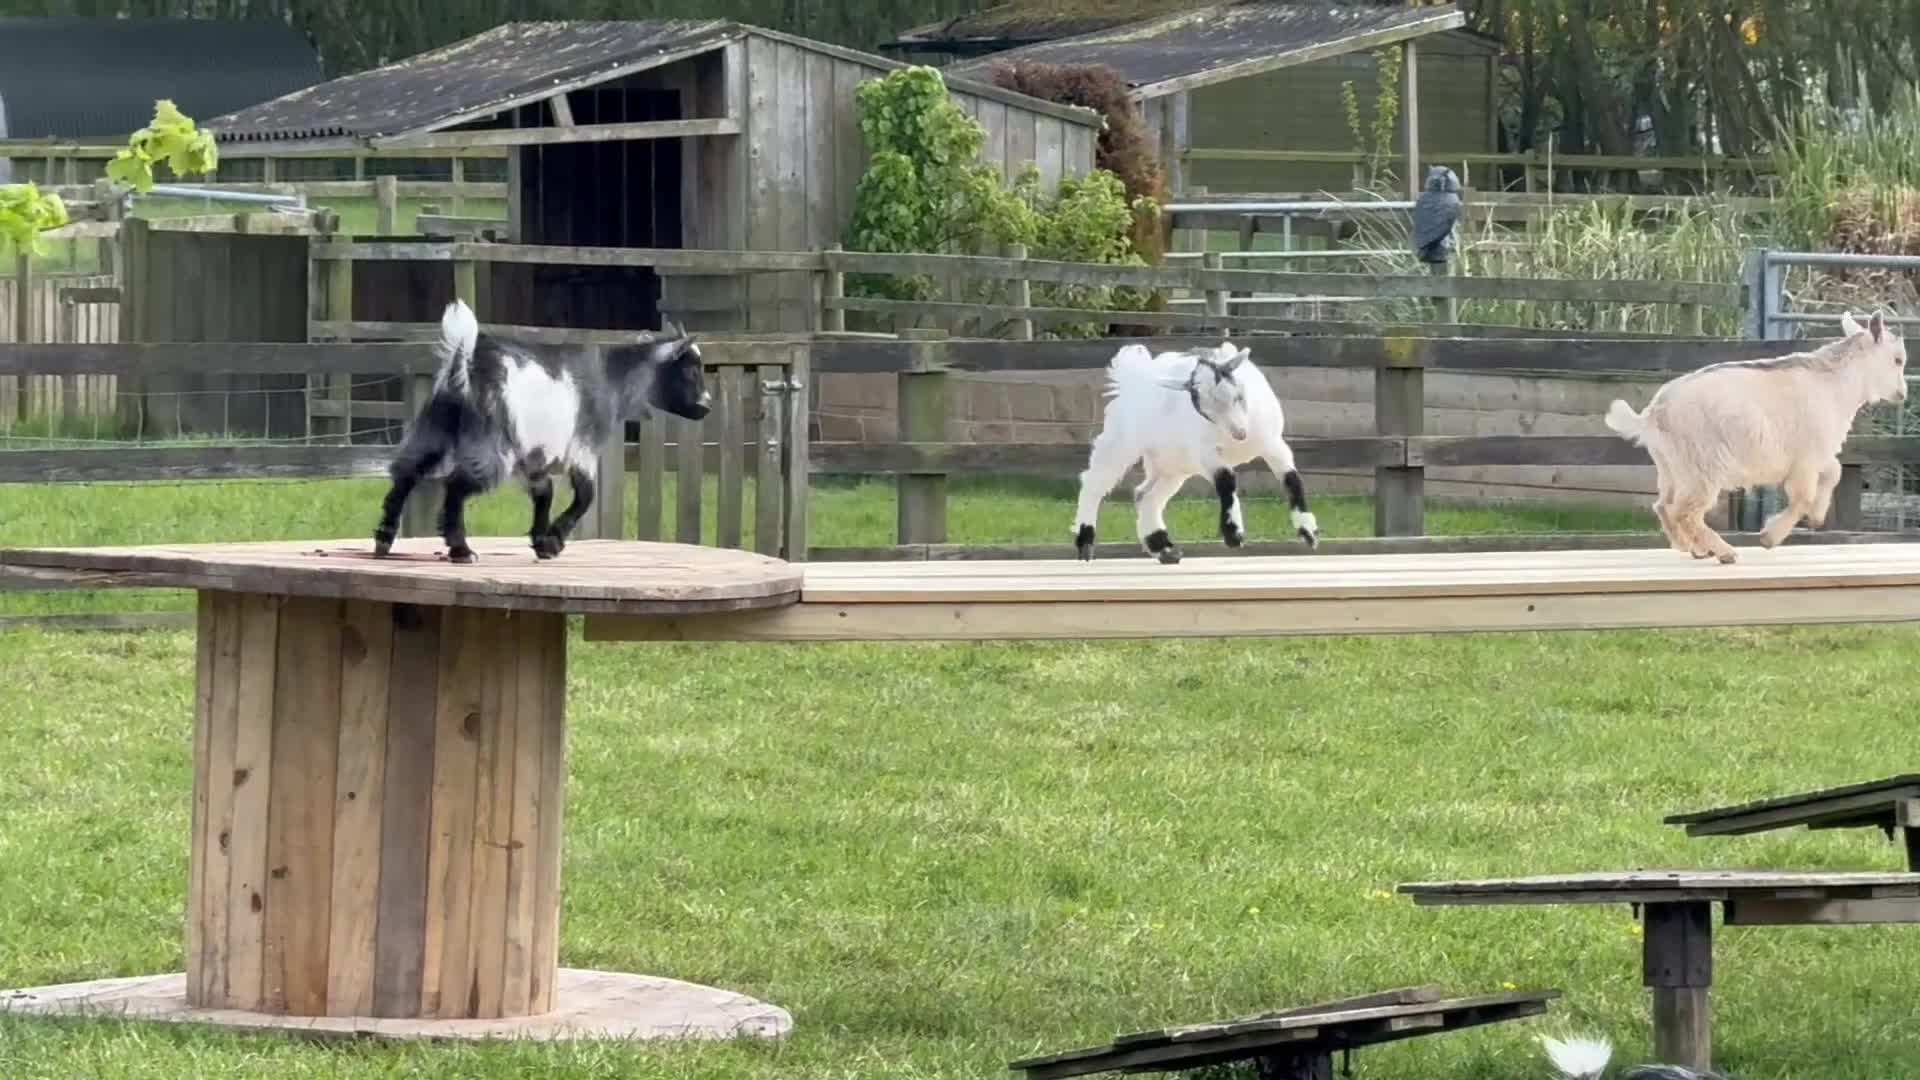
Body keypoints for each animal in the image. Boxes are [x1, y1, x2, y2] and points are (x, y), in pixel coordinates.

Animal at [372, 300, 711, 565]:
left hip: (435, 427)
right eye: (691, 370)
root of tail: (466, 363)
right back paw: (461, 550)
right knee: (455, 484)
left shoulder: (535, 457)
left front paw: (541, 541)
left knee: (406, 472)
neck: (614, 378)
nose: (706, 406)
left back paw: (384, 539)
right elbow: (586, 495)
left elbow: (544, 493)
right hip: (492, 442)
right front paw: (554, 540)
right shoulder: (582, 447)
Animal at [1070, 340, 1319, 564]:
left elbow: (1292, 479)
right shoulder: (1207, 455)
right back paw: (1086, 542)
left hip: (1174, 464)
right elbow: (1226, 481)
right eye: (1201, 407)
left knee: (1146, 495)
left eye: (1237, 395)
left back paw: (1164, 549)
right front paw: (1233, 534)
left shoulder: (1273, 444)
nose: (1239, 433)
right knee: (1094, 484)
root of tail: (1131, 378)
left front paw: (1309, 532)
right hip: (1121, 442)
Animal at [1604, 310, 1908, 564]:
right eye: (1898, 359)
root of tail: (1654, 413)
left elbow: (1834, 473)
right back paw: (1724, 552)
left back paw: (1692, 547)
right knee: (1685, 511)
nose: (1902, 393)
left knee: (1664, 505)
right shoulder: (1807, 459)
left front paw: (1817, 517)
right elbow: (1803, 497)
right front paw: (1770, 537)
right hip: (1702, 466)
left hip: (1671, 467)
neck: (1836, 384)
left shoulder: (1818, 455)